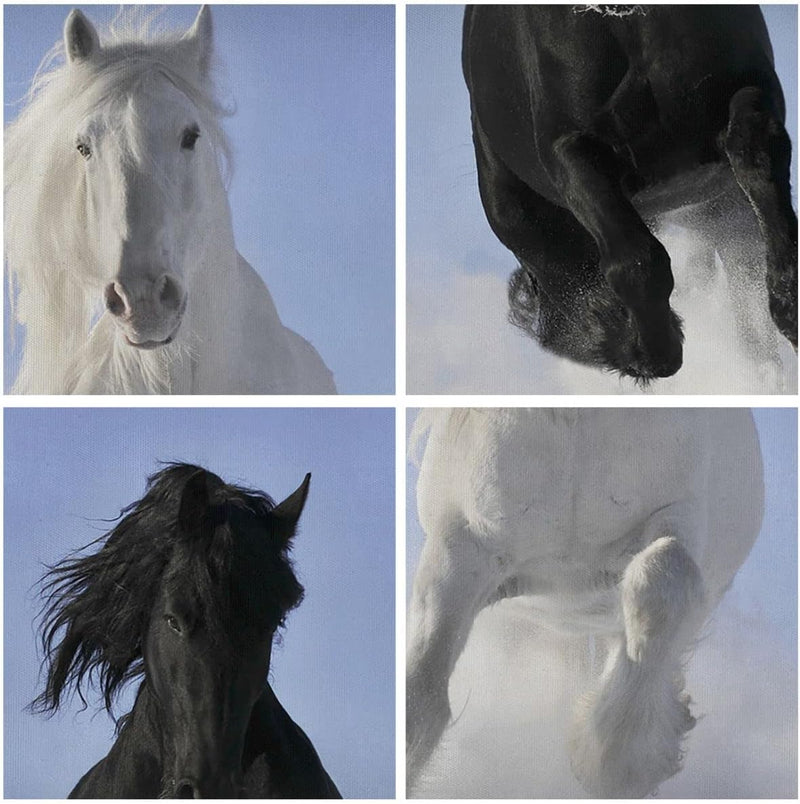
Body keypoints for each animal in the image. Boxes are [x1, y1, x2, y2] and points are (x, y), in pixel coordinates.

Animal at [466, 3, 796, 380]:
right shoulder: (573, 150)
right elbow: (634, 263)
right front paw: (648, 347)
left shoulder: (749, 89)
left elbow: (755, 154)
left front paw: (790, 309)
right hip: (525, 217)